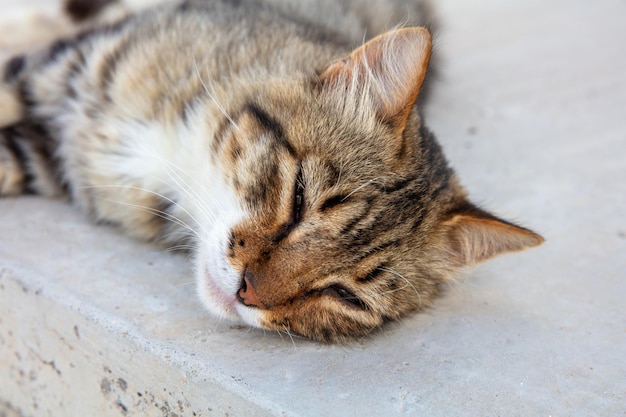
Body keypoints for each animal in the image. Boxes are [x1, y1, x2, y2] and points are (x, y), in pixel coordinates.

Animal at [0, 0, 540, 342]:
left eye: (344, 295)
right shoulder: (60, 70)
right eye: (298, 198)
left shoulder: (43, 157)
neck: (175, 158)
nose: (247, 293)